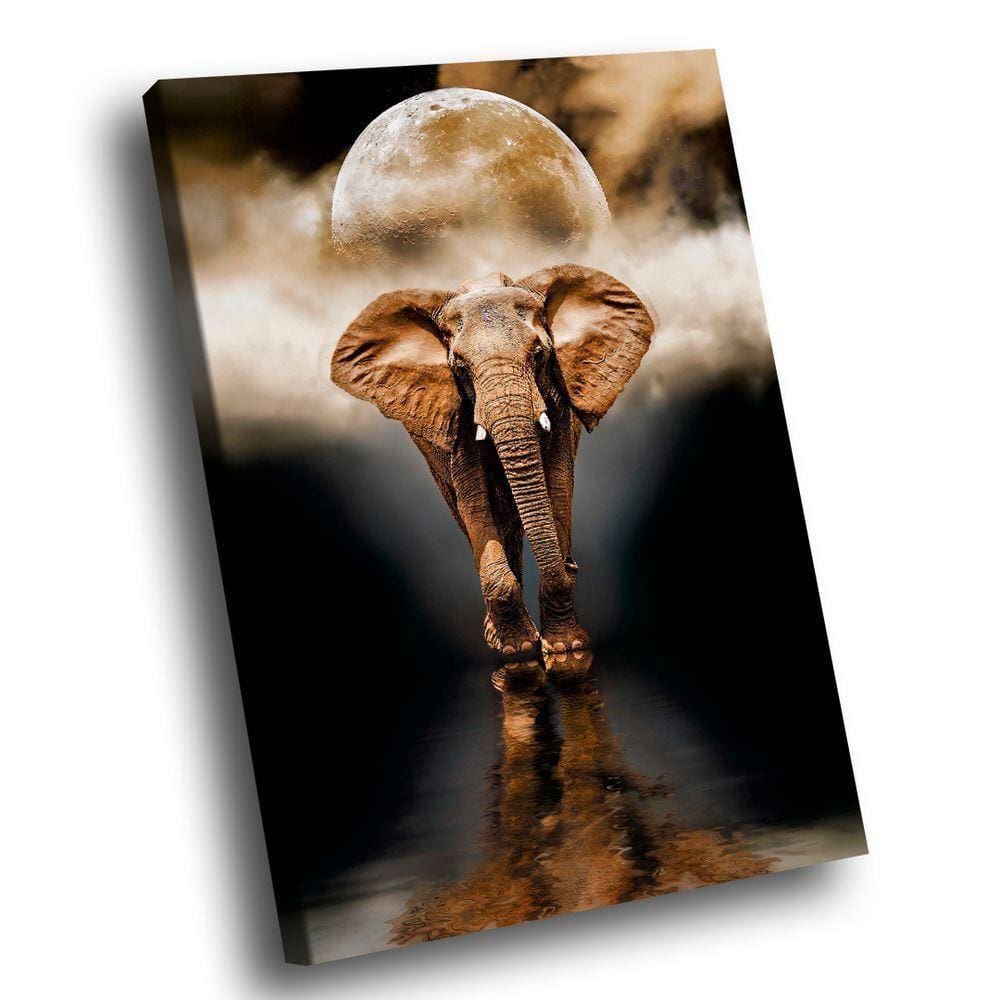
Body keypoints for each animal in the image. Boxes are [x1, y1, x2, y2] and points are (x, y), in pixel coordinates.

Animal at [330, 264, 654, 656]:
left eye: (540, 355)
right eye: (460, 368)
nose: (572, 564)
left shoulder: (559, 402)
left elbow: (558, 484)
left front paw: (566, 647)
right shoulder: (454, 414)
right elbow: (475, 500)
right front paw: (516, 649)